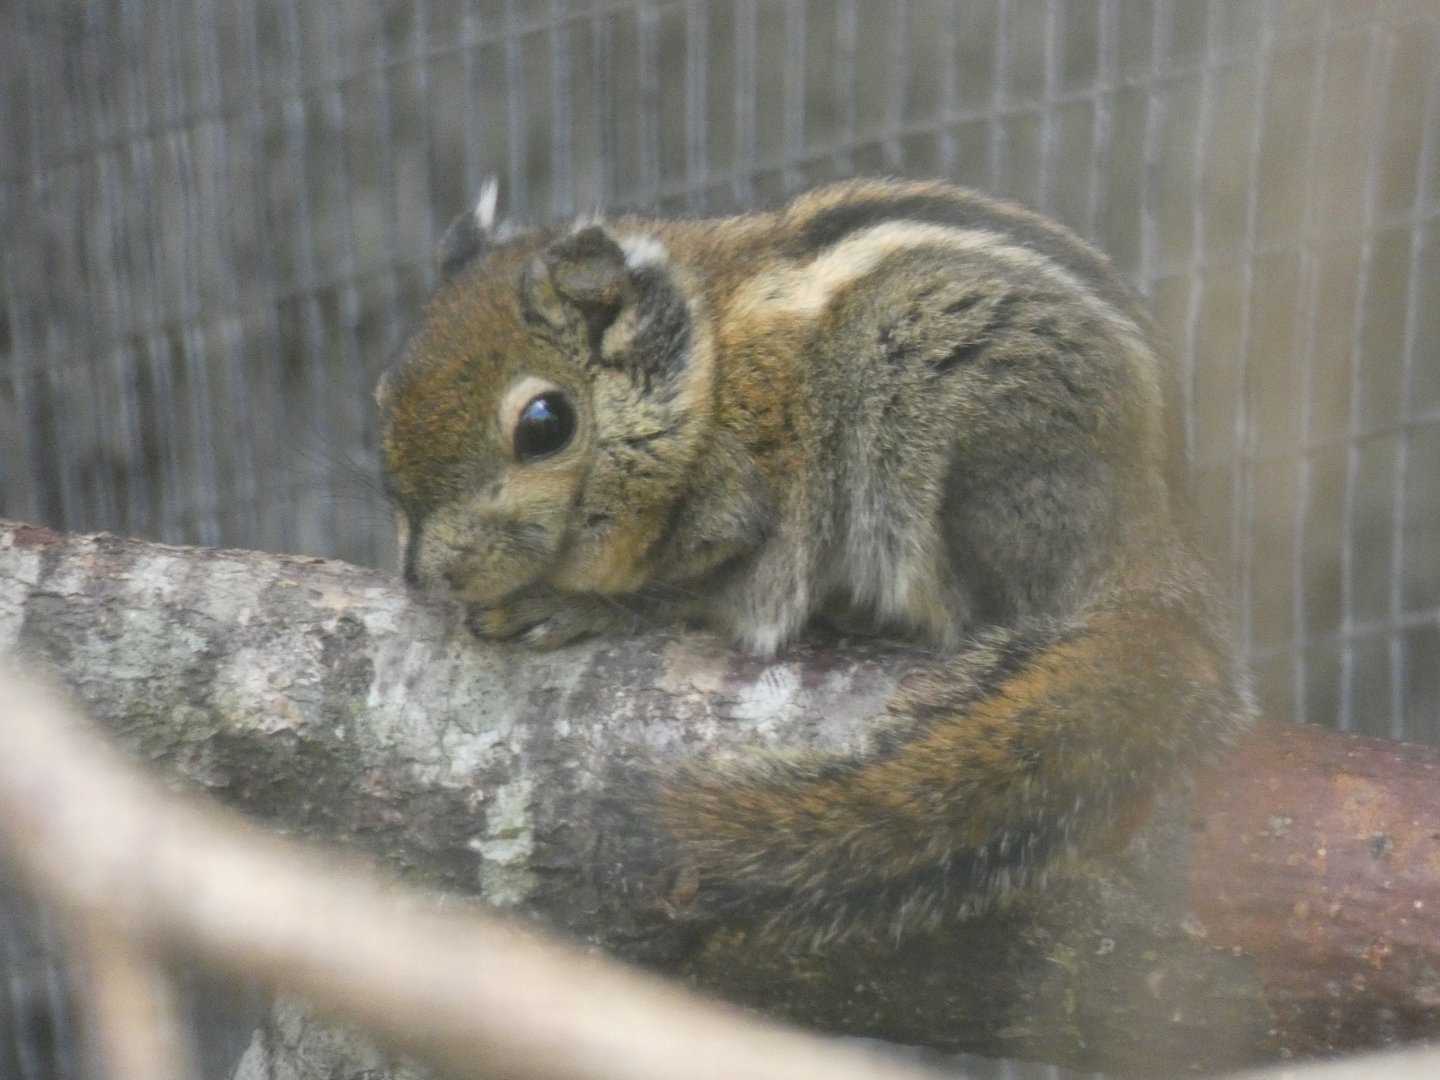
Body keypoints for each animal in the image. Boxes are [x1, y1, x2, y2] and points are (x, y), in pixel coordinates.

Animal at [377, 177, 1254, 943]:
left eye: (545, 424)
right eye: (385, 398)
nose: (425, 574)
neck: (705, 372)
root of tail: (1159, 550)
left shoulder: (738, 513)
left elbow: (680, 594)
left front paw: (565, 605)